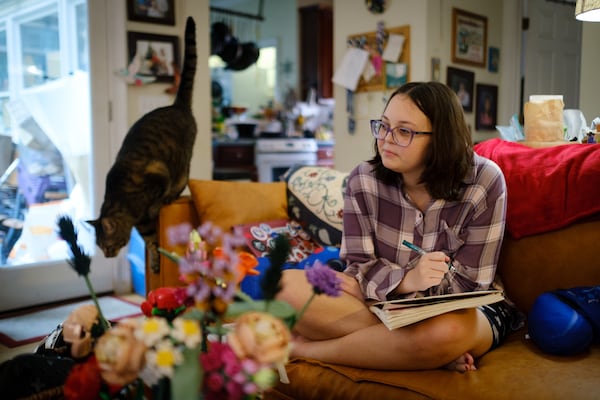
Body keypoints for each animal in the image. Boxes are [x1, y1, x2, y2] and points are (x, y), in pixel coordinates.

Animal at [86, 15, 197, 272]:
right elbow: (151, 243)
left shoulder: (158, 172)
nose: (107, 256)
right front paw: (155, 261)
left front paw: (158, 203)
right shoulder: (144, 226)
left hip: (182, 162)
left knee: (181, 181)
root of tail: (176, 105)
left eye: (106, 245)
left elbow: (158, 196)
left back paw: (171, 196)